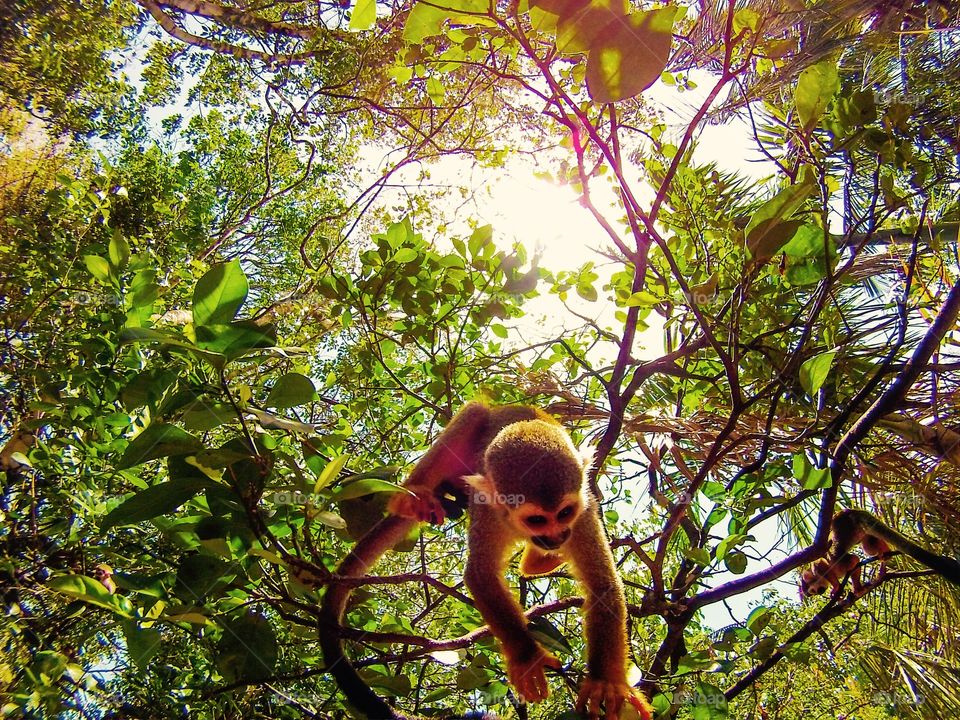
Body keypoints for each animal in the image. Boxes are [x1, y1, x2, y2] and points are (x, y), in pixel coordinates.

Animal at [320, 402, 653, 720]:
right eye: (536, 520)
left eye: (564, 513)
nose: (556, 536)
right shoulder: (488, 508)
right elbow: (480, 573)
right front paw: (527, 657)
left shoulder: (582, 511)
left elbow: (602, 583)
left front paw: (604, 682)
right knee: (475, 413)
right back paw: (411, 498)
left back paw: (537, 562)